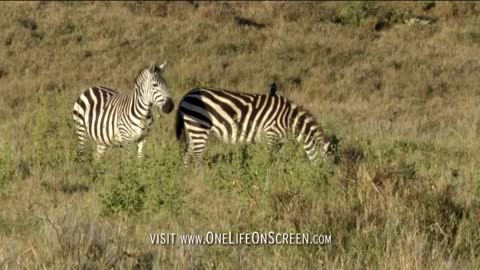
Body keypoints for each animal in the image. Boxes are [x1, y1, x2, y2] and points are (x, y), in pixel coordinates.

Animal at [175, 86, 338, 167]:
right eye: (328, 164)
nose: (327, 181)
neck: (289, 121)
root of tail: (186, 95)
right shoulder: (271, 134)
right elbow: (270, 159)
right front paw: (267, 176)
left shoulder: (280, 141)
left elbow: (279, 160)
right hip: (199, 127)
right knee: (196, 157)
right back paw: (200, 179)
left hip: (193, 130)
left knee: (188, 155)